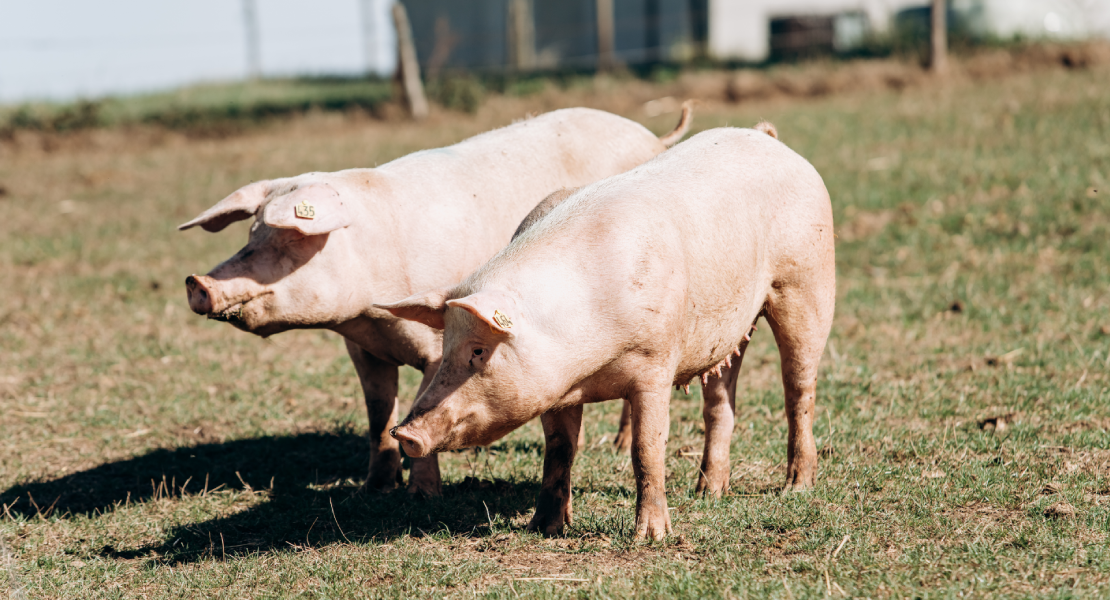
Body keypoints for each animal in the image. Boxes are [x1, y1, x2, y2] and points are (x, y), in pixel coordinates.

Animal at [177, 105, 688, 494]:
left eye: (289, 239)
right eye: (252, 233)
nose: (197, 282)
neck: (370, 312)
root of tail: (650, 134)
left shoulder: (435, 345)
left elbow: (421, 400)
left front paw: (423, 494)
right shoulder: (361, 350)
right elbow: (378, 414)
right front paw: (376, 488)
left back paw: (618, 445)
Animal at [379, 122, 834, 539]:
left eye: (478, 350)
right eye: (447, 345)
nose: (404, 432)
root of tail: (765, 136)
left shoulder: (656, 362)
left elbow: (646, 448)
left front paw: (650, 537)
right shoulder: (554, 388)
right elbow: (559, 449)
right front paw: (544, 528)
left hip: (806, 284)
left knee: (798, 387)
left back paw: (796, 487)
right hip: (729, 329)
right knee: (720, 401)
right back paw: (708, 492)